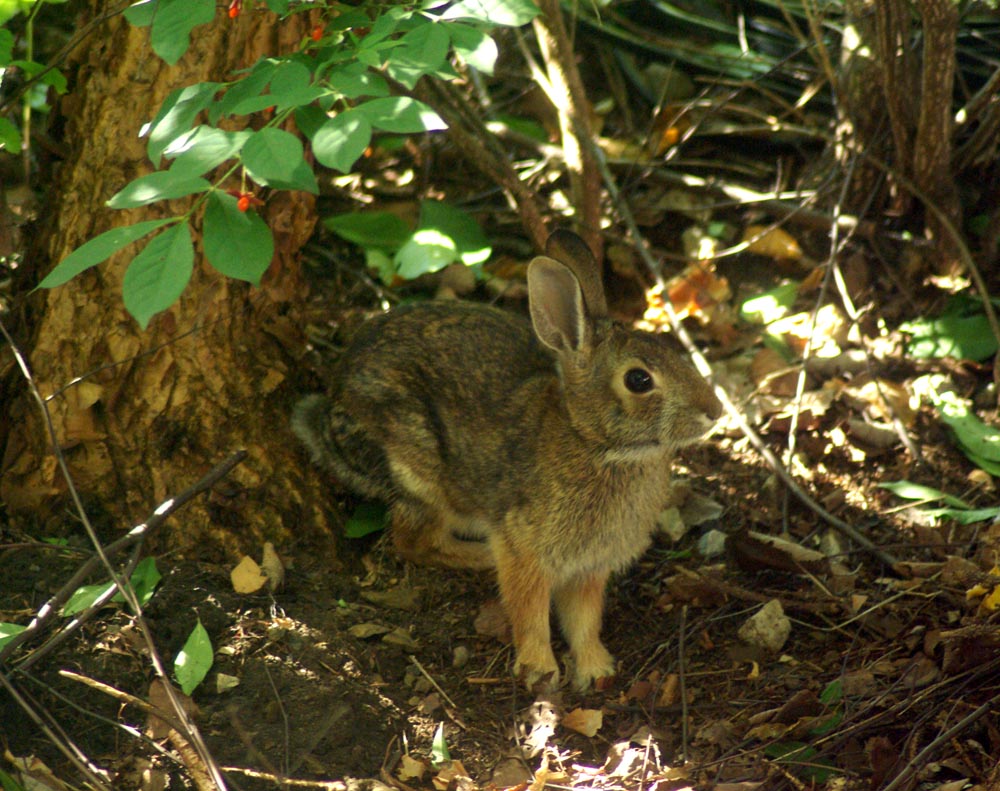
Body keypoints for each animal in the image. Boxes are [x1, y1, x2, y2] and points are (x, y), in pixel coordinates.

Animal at [292, 229, 723, 691]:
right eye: (639, 380)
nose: (715, 410)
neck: (594, 443)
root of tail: (332, 404)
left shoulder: (589, 569)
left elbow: (585, 621)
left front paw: (595, 669)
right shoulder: (525, 551)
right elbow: (529, 613)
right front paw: (540, 670)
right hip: (420, 471)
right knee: (414, 542)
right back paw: (481, 556)